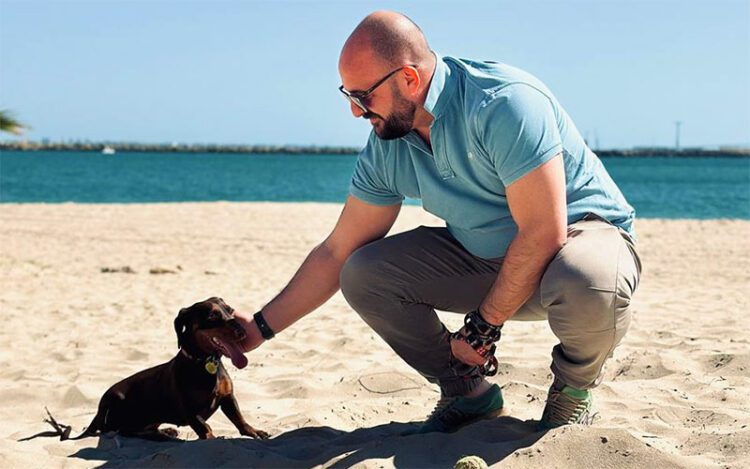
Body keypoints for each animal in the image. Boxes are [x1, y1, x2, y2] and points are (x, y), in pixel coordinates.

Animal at [25, 298, 268, 440]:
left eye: (231, 311)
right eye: (212, 316)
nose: (242, 330)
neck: (205, 363)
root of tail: (100, 408)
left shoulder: (227, 397)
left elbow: (240, 419)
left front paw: (255, 432)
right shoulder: (190, 411)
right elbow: (206, 429)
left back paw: (166, 431)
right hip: (120, 404)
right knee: (123, 431)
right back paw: (162, 435)